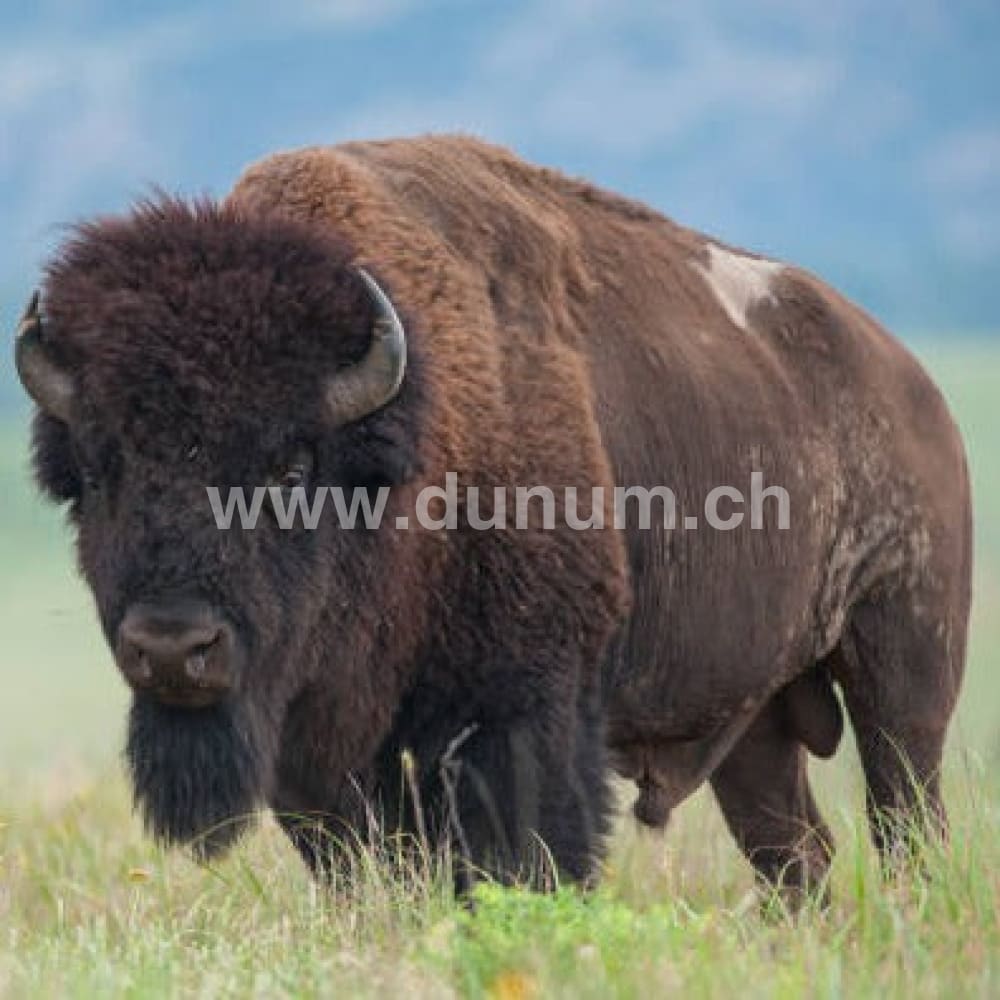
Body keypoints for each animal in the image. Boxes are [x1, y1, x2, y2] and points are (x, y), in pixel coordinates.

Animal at [16, 136, 971, 896]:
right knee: (795, 854)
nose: (173, 647)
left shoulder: (521, 717)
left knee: (907, 819)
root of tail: (915, 386)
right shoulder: (320, 756)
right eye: (99, 470)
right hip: (755, 721)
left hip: (903, 670)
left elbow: (525, 854)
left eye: (290, 465)